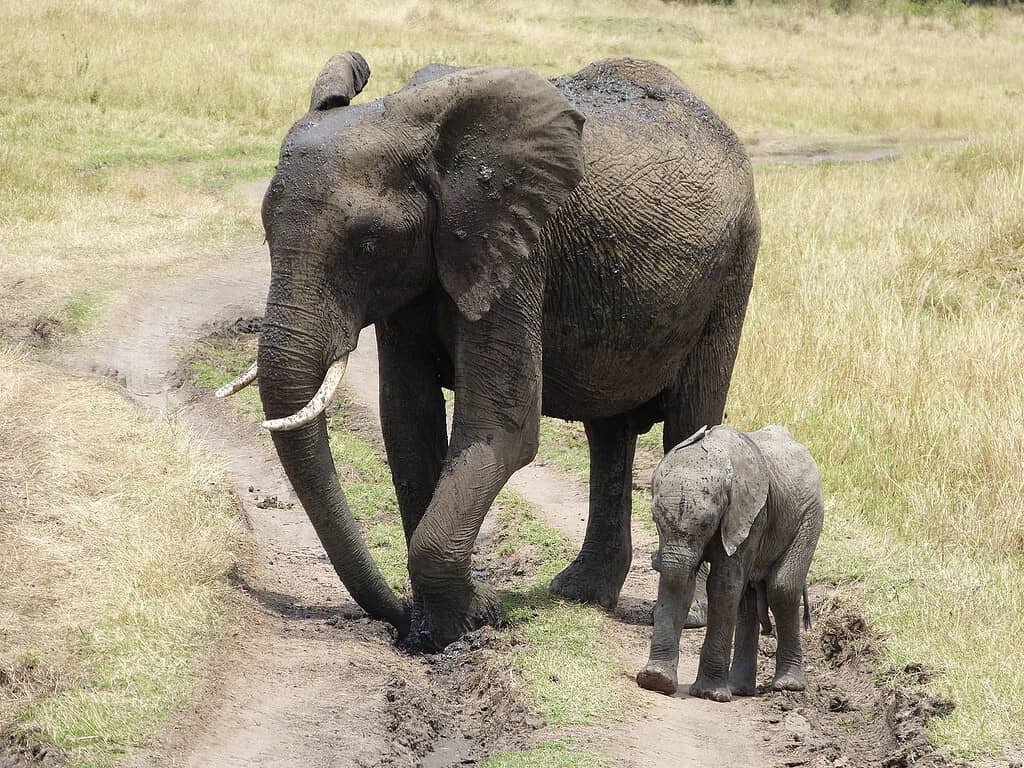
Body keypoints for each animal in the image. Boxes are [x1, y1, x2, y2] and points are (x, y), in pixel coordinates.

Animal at [218, 51, 761, 649]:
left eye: (368, 243)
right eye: (266, 234)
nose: (397, 616)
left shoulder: (517, 253)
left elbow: (501, 427)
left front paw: (464, 623)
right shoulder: (420, 273)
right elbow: (407, 420)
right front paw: (437, 627)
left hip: (734, 264)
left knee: (692, 419)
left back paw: (687, 616)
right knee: (609, 432)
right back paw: (580, 594)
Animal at [636, 425, 824, 702]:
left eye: (707, 523)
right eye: (654, 519)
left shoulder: (751, 516)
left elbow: (723, 585)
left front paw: (709, 694)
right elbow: (680, 580)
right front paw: (656, 680)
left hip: (810, 517)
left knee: (782, 589)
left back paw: (787, 686)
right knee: (748, 600)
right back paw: (739, 689)